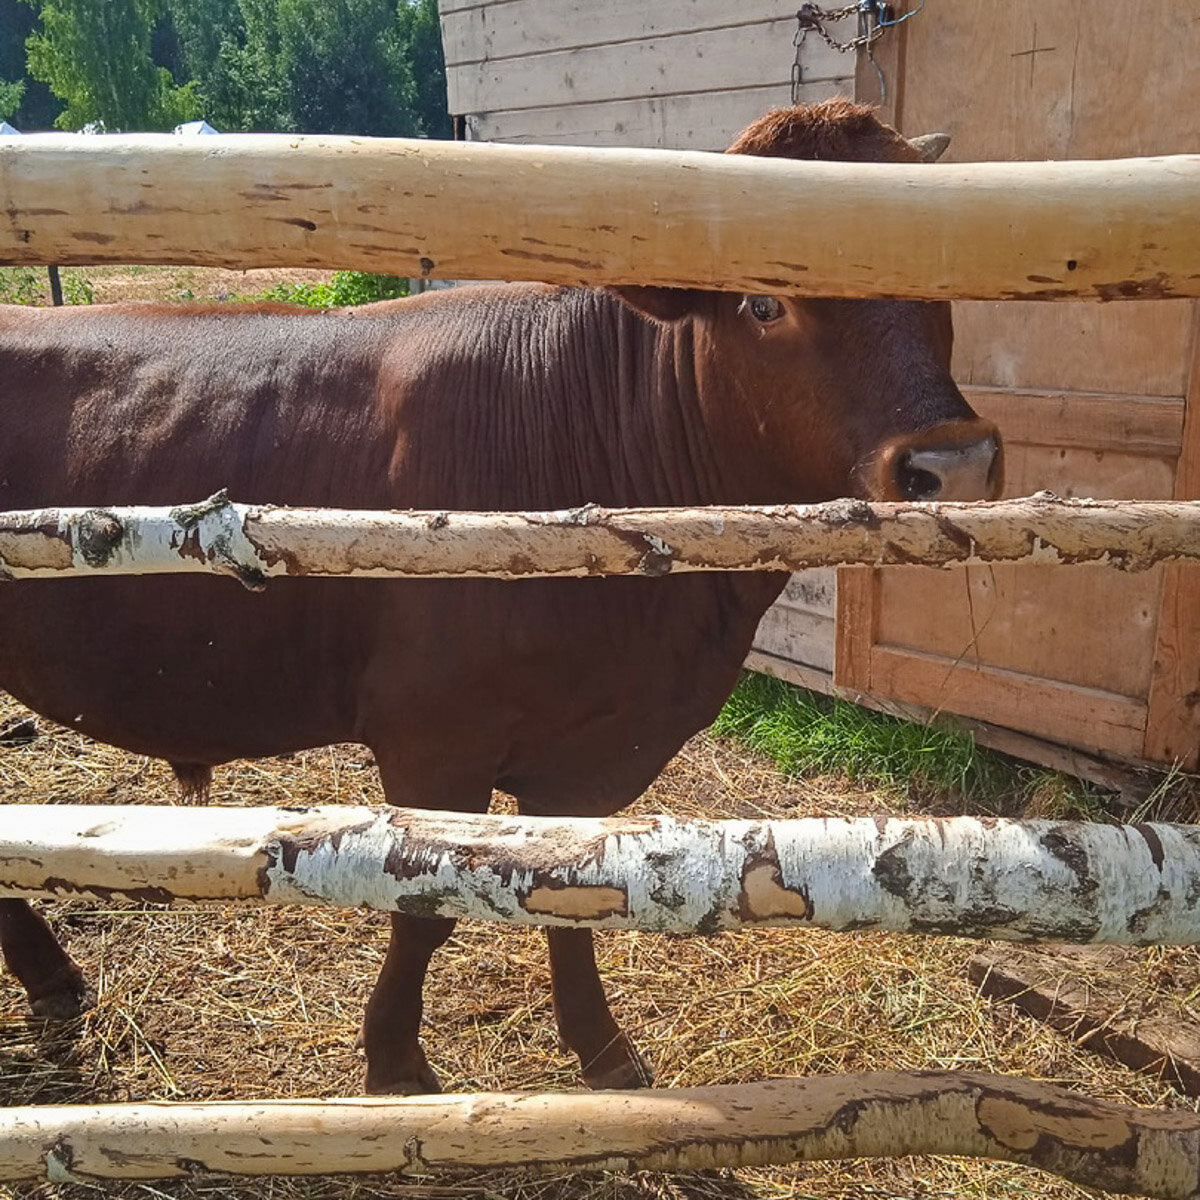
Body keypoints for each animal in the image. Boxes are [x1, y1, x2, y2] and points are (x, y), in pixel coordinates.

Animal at [0, 100, 998, 1099]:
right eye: (763, 302)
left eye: (942, 285)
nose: (951, 464)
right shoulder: (433, 739)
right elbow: (424, 911)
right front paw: (397, 1064)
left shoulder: (591, 755)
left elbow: (579, 891)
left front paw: (603, 1051)